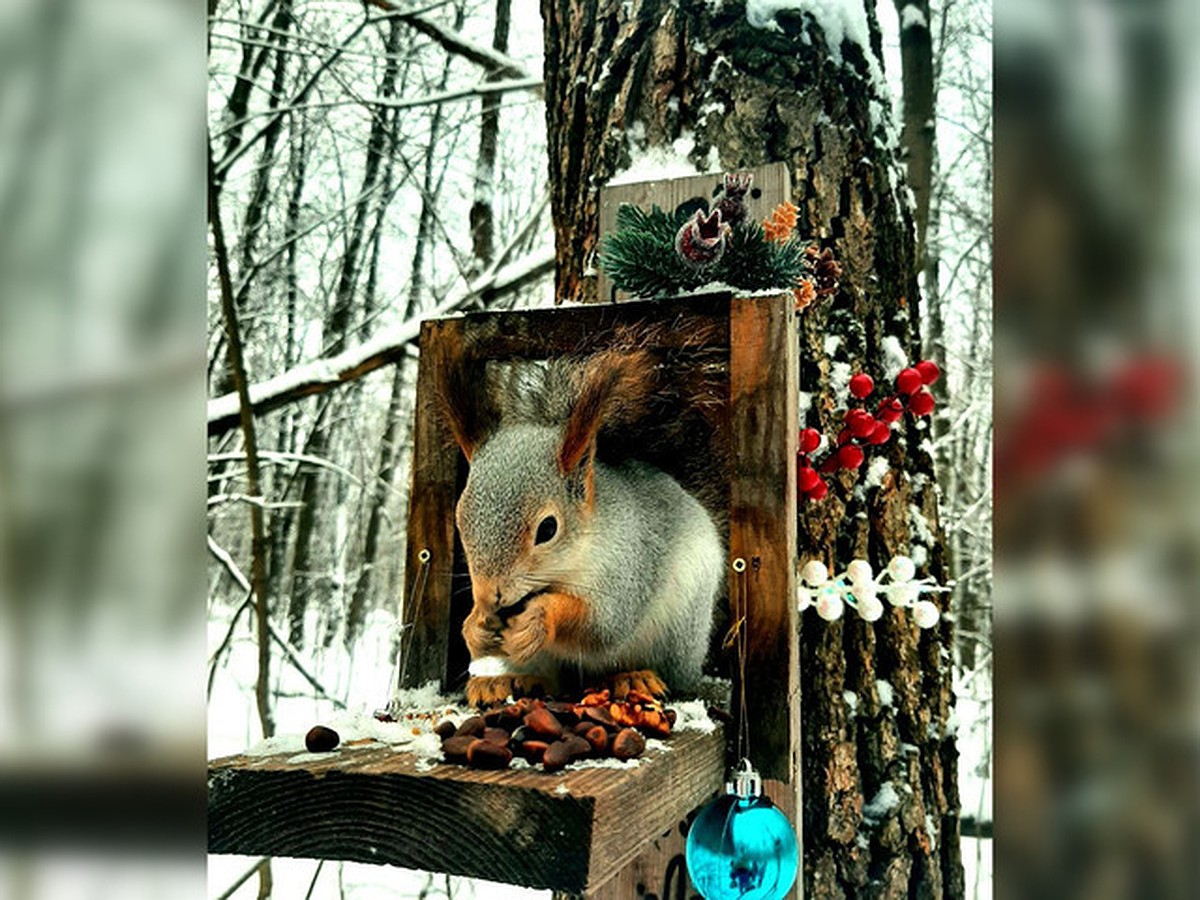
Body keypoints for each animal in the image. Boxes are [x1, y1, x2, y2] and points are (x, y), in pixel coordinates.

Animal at [439, 340, 724, 710]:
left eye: (548, 529)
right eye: (460, 521)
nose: (491, 596)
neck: (565, 567)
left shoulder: (629, 565)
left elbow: (603, 624)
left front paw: (539, 618)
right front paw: (475, 626)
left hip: (679, 630)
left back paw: (632, 678)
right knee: (551, 680)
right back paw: (503, 682)